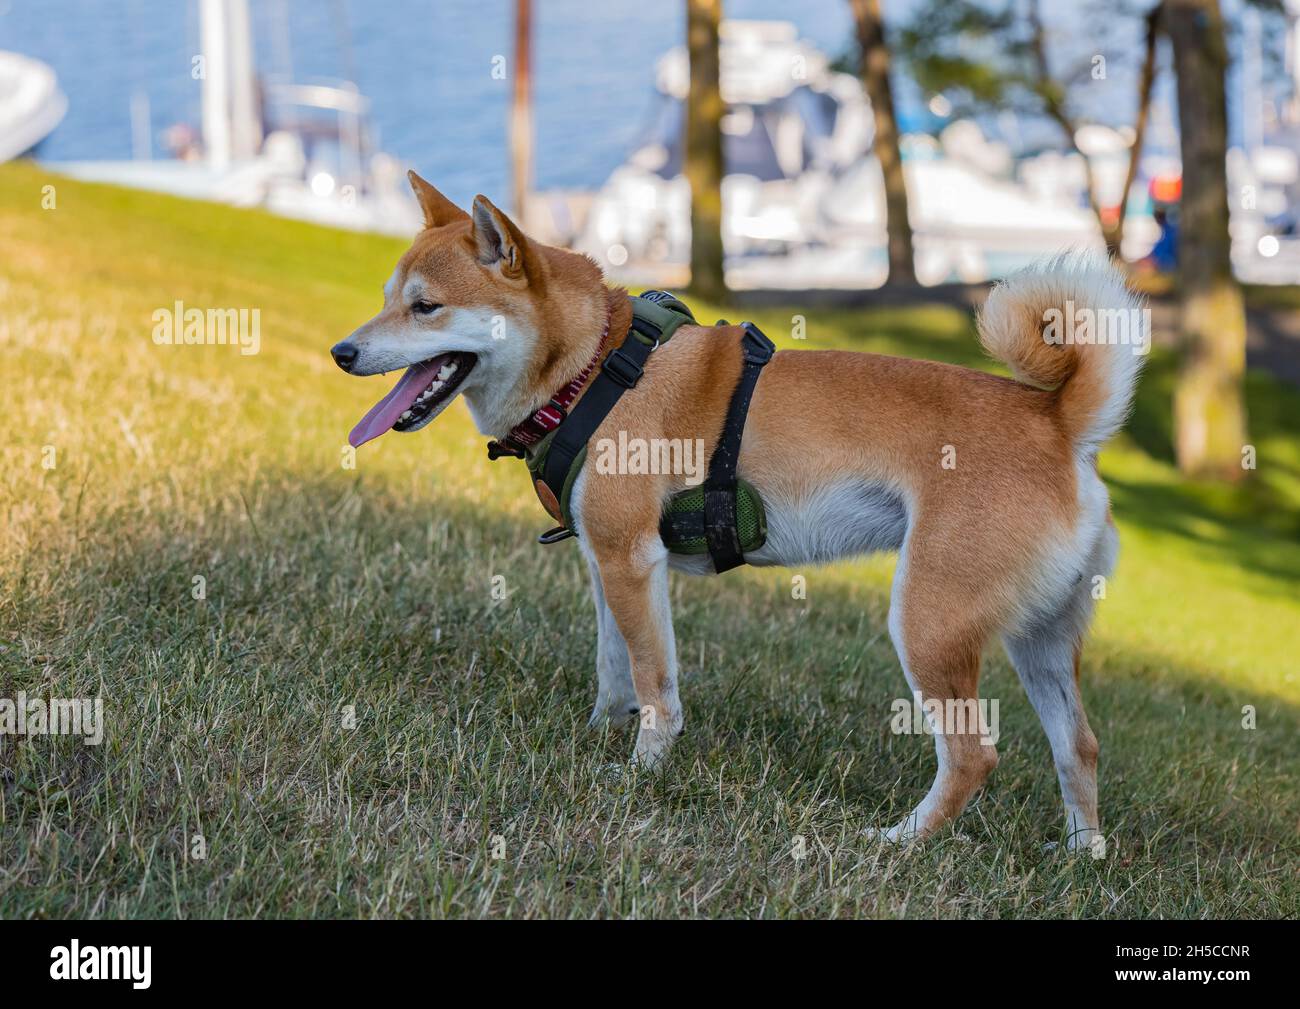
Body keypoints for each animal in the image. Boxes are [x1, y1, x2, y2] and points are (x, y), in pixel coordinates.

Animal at [330, 172, 1144, 852]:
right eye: (387, 297)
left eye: (425, 307)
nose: (342, 352)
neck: (593, 369)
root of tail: (1059, 423)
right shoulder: (605, 564)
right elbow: (614, 672)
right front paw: (598, 738)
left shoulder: (632, 560)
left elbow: (655, 687)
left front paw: (640, 776)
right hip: (1040, 639)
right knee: (1080, 746)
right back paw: (1082, 855)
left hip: (929, 622)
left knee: (974, 755)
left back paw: (899, 842)